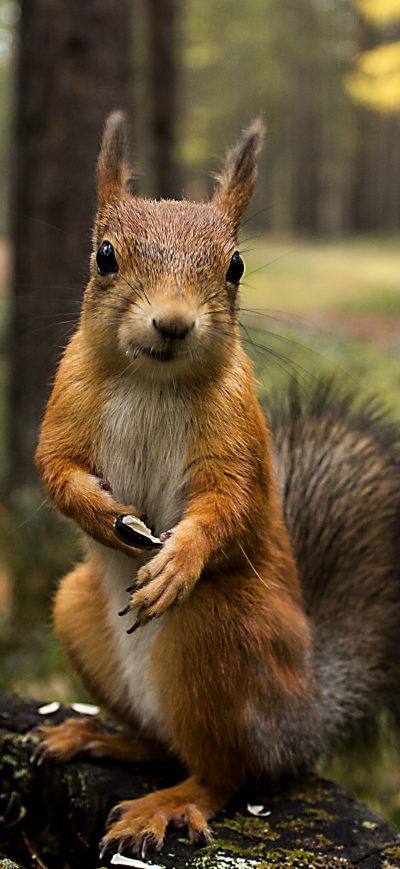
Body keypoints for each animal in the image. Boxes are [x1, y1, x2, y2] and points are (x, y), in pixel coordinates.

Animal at [35, 111, 400, 858]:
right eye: (104, 254)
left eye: (235, 265)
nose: (173, 323)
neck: (151, 378)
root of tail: (305, 717)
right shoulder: (65, 402)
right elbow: (55, 469)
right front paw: (101, 514)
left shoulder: (238, 438)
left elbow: (229, 505)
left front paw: (178, 560)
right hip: (76, 609)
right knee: (161, 741)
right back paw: (94, 735)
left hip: (221, 632)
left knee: (225, 772)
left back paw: (168, 803)